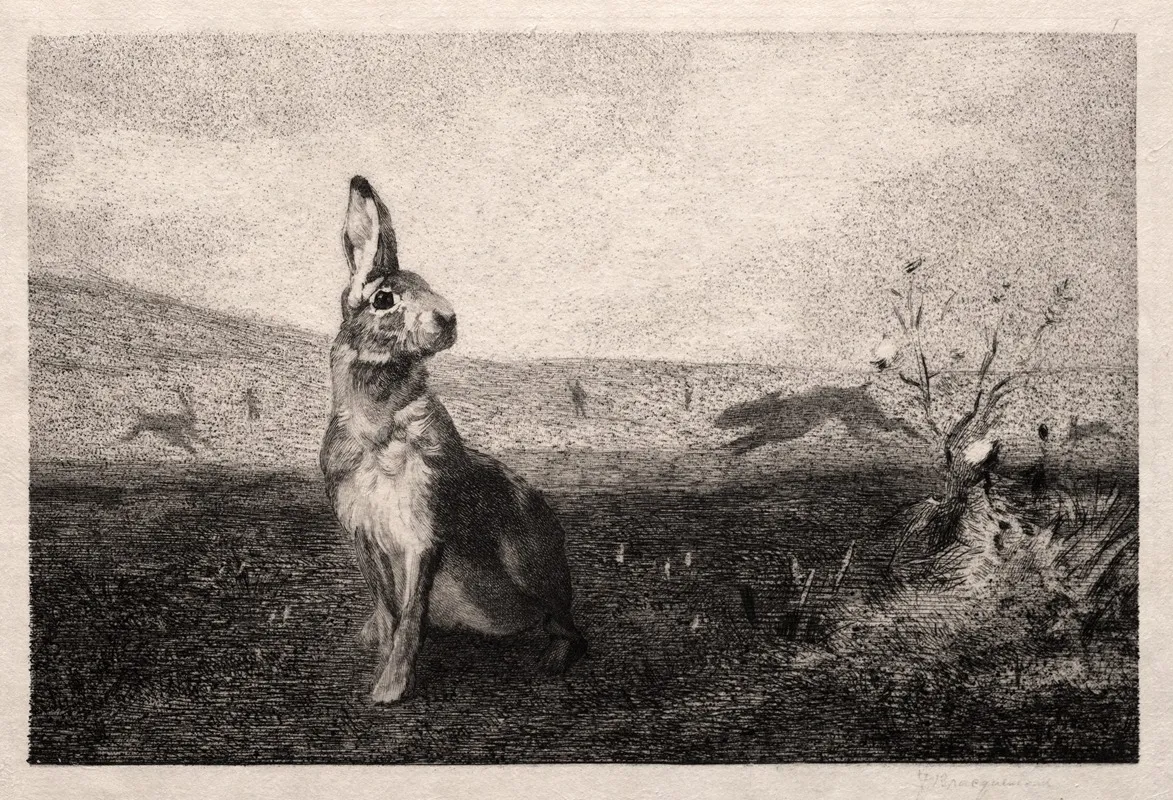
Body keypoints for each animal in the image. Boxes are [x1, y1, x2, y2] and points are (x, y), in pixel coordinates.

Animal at [320, 176, 587, 704]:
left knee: (567, 627)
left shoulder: (423, 536)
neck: (382, 424)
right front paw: (378, 652)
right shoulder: (366, 537)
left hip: (533, 567)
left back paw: (552, 661)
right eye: (385, 300)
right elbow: (390, 608)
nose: (449, 318)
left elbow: (410, 618)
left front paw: (390, 689)